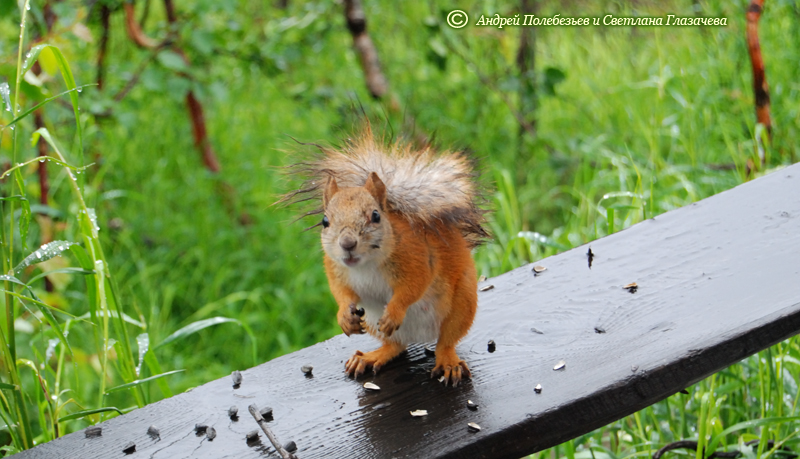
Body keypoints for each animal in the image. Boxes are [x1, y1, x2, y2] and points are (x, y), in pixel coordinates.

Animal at [284, 126, 490, 388]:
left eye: (375, 216)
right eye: (325, 221)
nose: (347, 244)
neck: (366, 265)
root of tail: (421, 335)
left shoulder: (417, 258)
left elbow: (413, 286)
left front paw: (394, 312)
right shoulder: (335, 268)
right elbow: (341, 292)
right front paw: (344, 315)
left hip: (461, 305)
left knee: (446, 341)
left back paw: (448, 362)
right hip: (372, 321)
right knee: (396, 345)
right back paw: (371, 357)